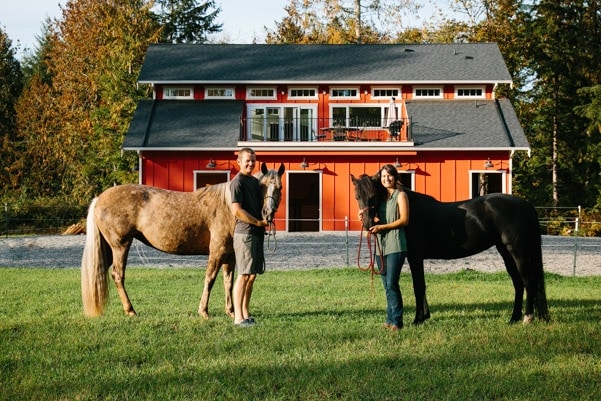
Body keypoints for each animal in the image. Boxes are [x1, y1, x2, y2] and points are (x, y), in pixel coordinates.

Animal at [81, 162, 284, 316]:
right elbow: (210, 278)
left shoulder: (230, 255)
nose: (267, 213)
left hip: (108, 248)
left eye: (279, 188)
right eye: (262, 187)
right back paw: (130, 310)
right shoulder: (217, 252)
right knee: (118, 275)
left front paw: (231, 312)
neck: (229, 206)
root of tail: (99, 198)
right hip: (120, 246)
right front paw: (204, 311)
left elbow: (228, 281)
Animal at [350, 173, 552, 324]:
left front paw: (418, 319)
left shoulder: (415, 256)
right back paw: (513, 318)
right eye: (357, 197)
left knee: (529, 281)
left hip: (517, 251)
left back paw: (527, 318)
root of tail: (524, 204)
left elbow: (418, 285)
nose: (368, 224)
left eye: (373, 196)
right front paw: (424, 316)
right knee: (518, 283)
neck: (409, 210)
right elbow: (421, 285)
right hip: (505, 252)